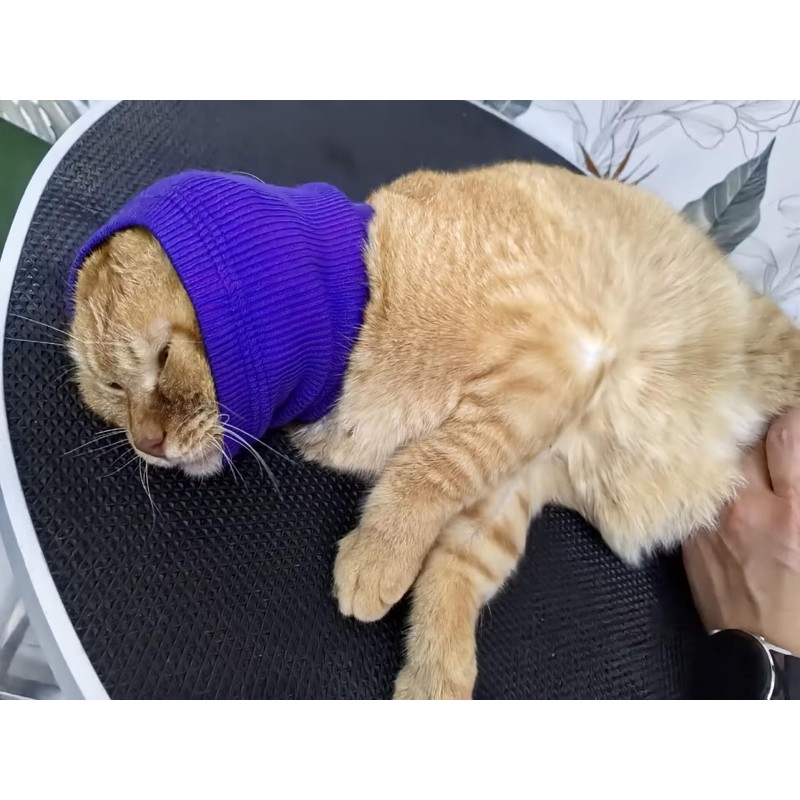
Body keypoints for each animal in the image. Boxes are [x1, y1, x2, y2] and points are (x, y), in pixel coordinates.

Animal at [69, 162, 800, 699]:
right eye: (111, 393)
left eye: (164, 358)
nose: (146, 443)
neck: (364, 310)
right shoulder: (508, 485)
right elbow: (451, 574)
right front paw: (435, 676)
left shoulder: (551, 366)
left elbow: (428, 469)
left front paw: (378, 556)